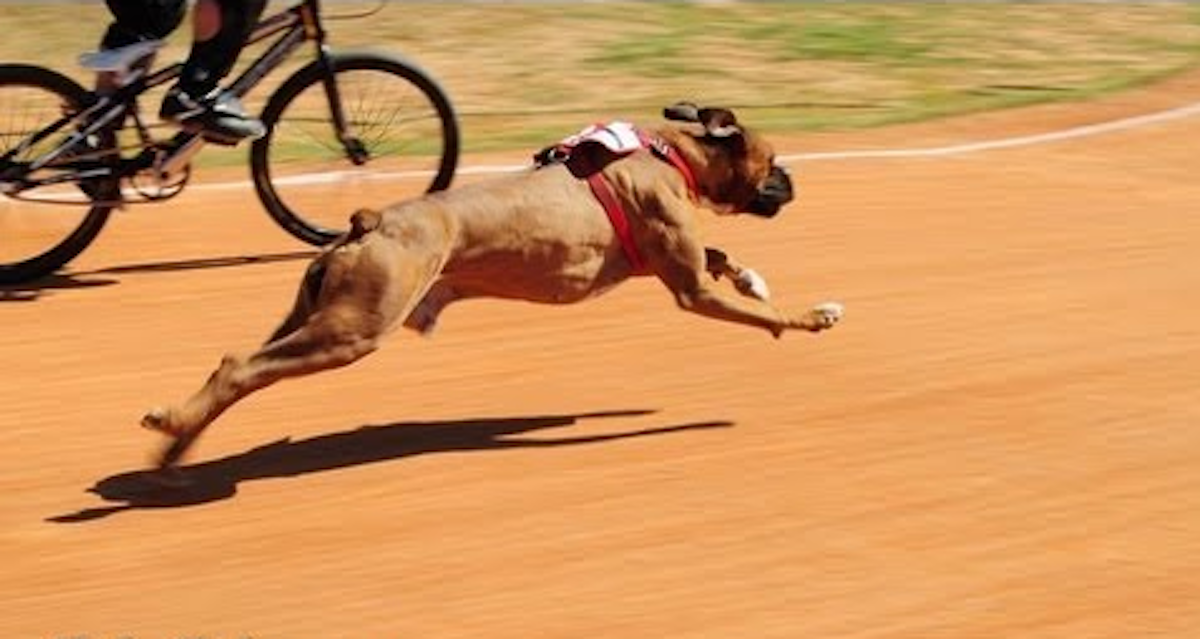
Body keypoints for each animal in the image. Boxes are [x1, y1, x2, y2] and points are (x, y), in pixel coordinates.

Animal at [142, 102, 844, 466]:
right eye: (774, 162)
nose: (792, 182)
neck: (670, 151)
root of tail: (371, 221)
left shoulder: (675, 265)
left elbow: (725, 259)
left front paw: (752, 276)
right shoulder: (688, 288)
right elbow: (767, 313)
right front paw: (810, 318)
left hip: (315, 316)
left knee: (242, 368)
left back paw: (182, 438)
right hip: (350, 331)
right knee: (241, 365)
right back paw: (172, 424)